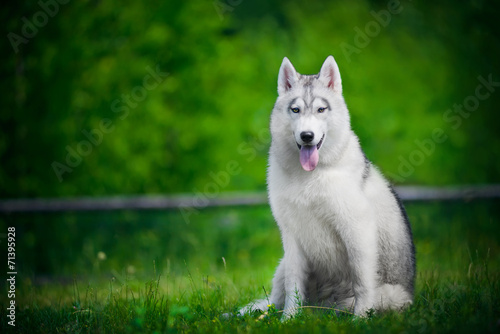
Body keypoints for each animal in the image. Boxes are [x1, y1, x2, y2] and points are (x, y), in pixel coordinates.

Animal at [240, 56, 416, 320]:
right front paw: (288, 320)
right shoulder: (291, 237)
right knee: (272, 302)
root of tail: (321, 307)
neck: (309, 177)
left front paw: (360, 320)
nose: (307, 136)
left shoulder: (357, 229)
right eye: (295, 110)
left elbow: (362, 283)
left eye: (321, 110)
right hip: (282, 265)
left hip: (392, 295)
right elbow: (293, 287)